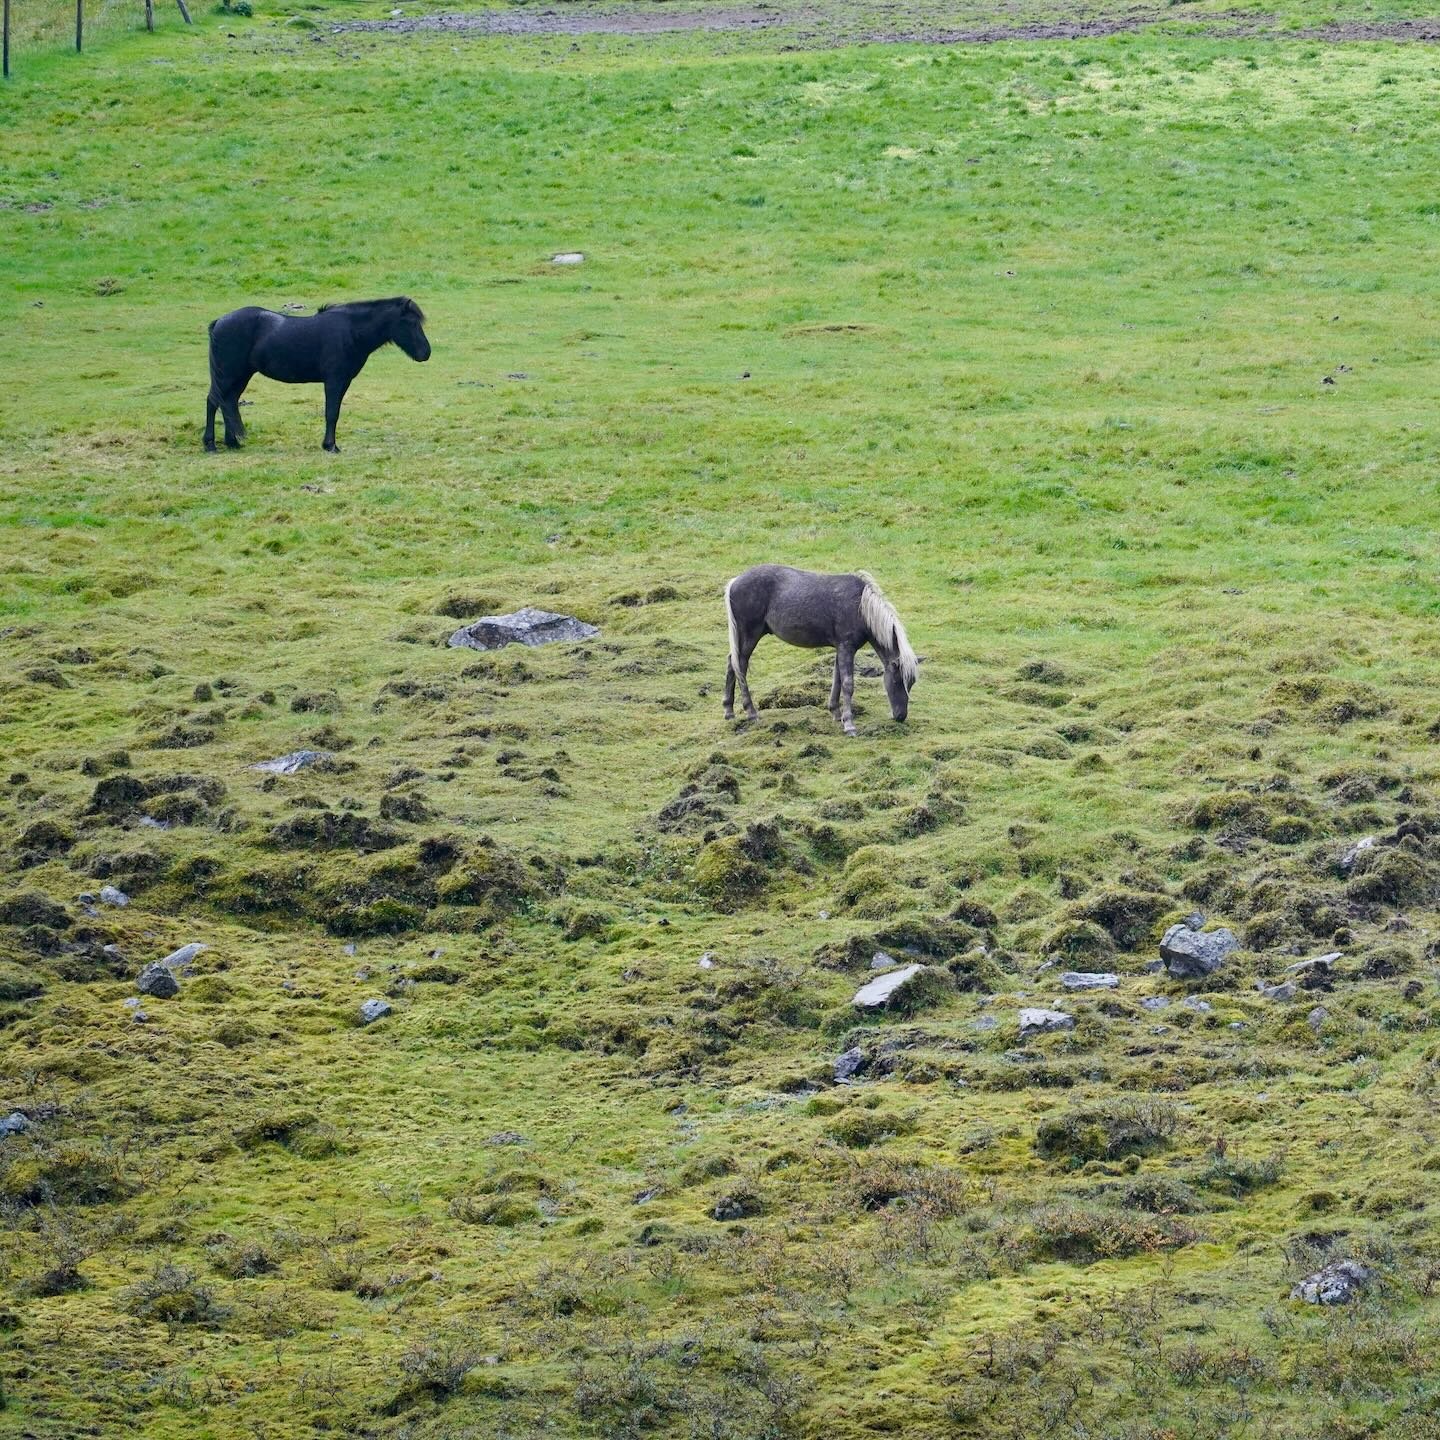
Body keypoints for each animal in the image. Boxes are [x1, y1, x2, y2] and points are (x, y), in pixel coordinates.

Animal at [204, 296, 431, 453]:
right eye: (411, 322)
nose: (426, 353)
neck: (351, 332)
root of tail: (219, 322)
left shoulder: (344, 382)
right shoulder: (334, 381)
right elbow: (331, 413)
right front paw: (331, 446)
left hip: (240, 375)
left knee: (228, 402)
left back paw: (232, 443)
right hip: (228, 375)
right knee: (214, 401)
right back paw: (210, 445)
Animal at [723, 564, 919, 736]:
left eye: (911, 683)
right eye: (897, 681)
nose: (900, 716)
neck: (860, 607)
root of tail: (735, 581)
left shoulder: (841, 648)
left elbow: (837, 680)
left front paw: (836, 713)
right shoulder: (846, 648)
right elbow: (847, 684)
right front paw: (849, 725)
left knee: (732, 663)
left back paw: (729, 710)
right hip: (749, 636)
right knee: (740, 666)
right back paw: (751, 712)